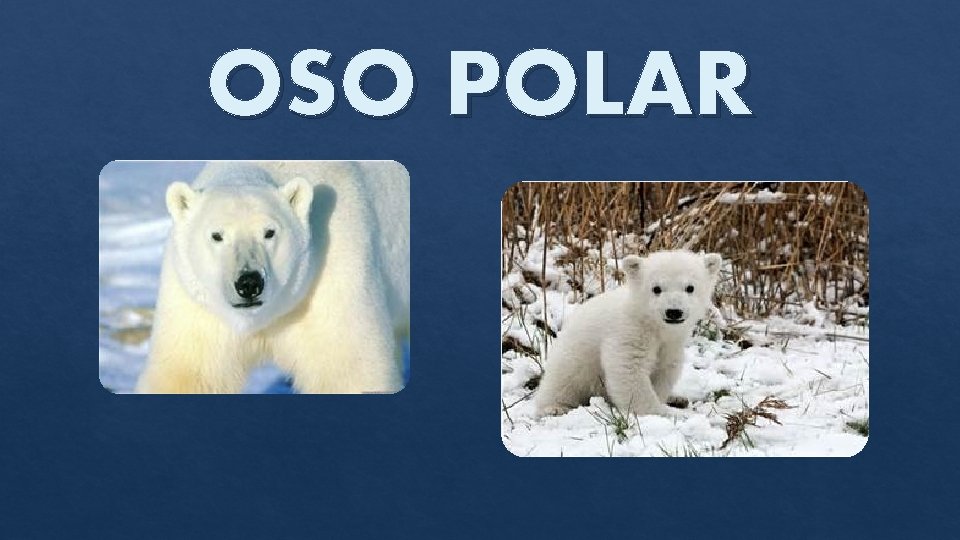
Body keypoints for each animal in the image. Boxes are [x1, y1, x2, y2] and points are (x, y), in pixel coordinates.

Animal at [136, 161, 409, 394]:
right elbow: (189, 373)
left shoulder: (332, 274)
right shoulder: (197, 305)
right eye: (217, 235)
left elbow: (350, 372)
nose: (249, 283)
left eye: (269, 232)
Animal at [534, 250, 721, 418]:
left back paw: (677, 398)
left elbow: (664, 370)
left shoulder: (671, 343)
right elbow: (629, 369)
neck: (651, 323)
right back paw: (555, 407)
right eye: (656, 288)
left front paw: (666, 402)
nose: (674, 312)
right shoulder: (629, 332)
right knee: (562, 383)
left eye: (690, 287)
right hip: (572, 361)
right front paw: (664, 412)